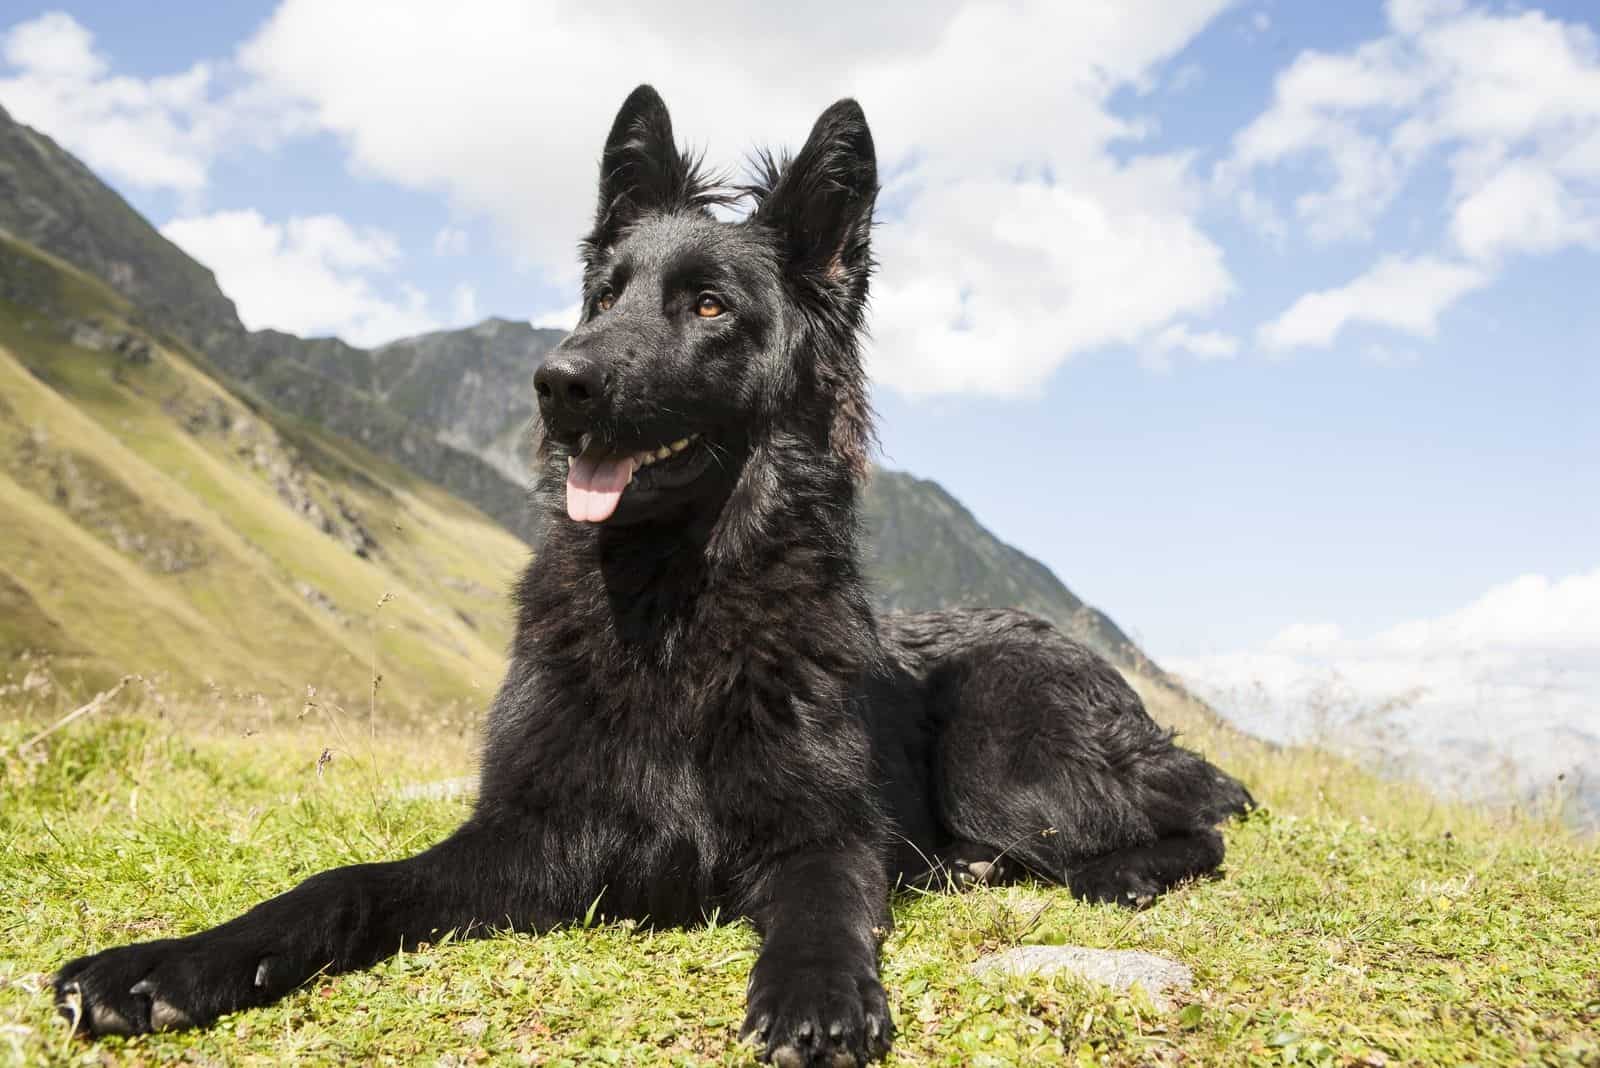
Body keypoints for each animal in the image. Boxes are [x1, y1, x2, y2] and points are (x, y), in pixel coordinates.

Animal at [46, 87, 1248, 1061]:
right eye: (605, 296)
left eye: (709, 306)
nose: (555, 384)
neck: (674, 604)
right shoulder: (531, 834)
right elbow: (347, 883)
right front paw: (169, 961)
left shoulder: (820, 832)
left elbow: (825, 902)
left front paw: (817, 994)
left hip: (1006, 760)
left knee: (1195, 817)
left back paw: (1103, 870)